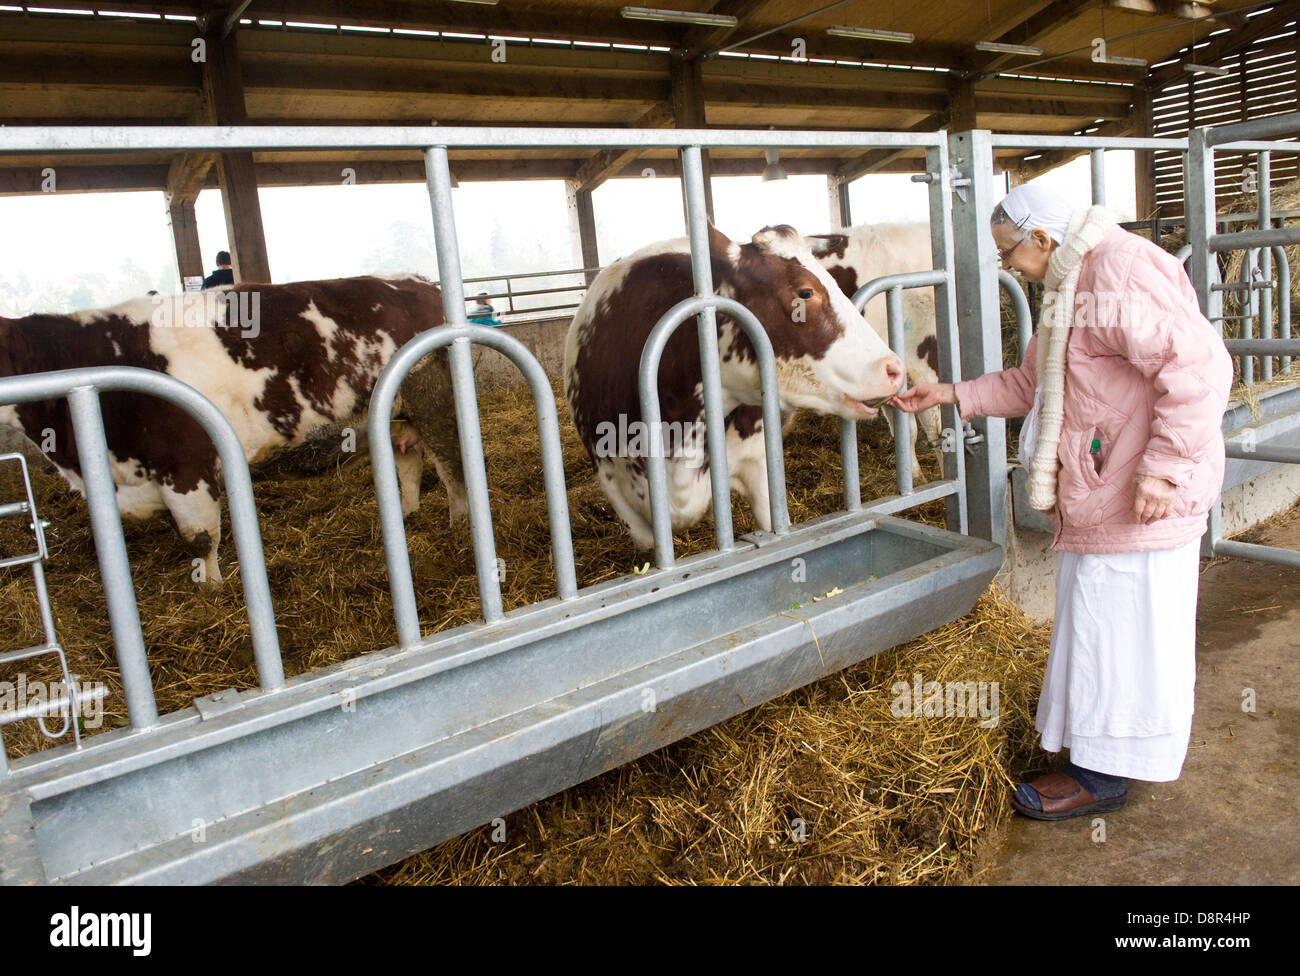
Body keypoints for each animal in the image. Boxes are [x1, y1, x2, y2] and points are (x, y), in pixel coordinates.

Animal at [0, 271, 467, 584]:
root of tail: (415, 280)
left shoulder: (186, 467)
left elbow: (199, 537)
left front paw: (211, 590)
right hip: (394, 412)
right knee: (408, 460)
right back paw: (406, 514)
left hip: (431, 397)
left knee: (450, 463)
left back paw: (461, 521)